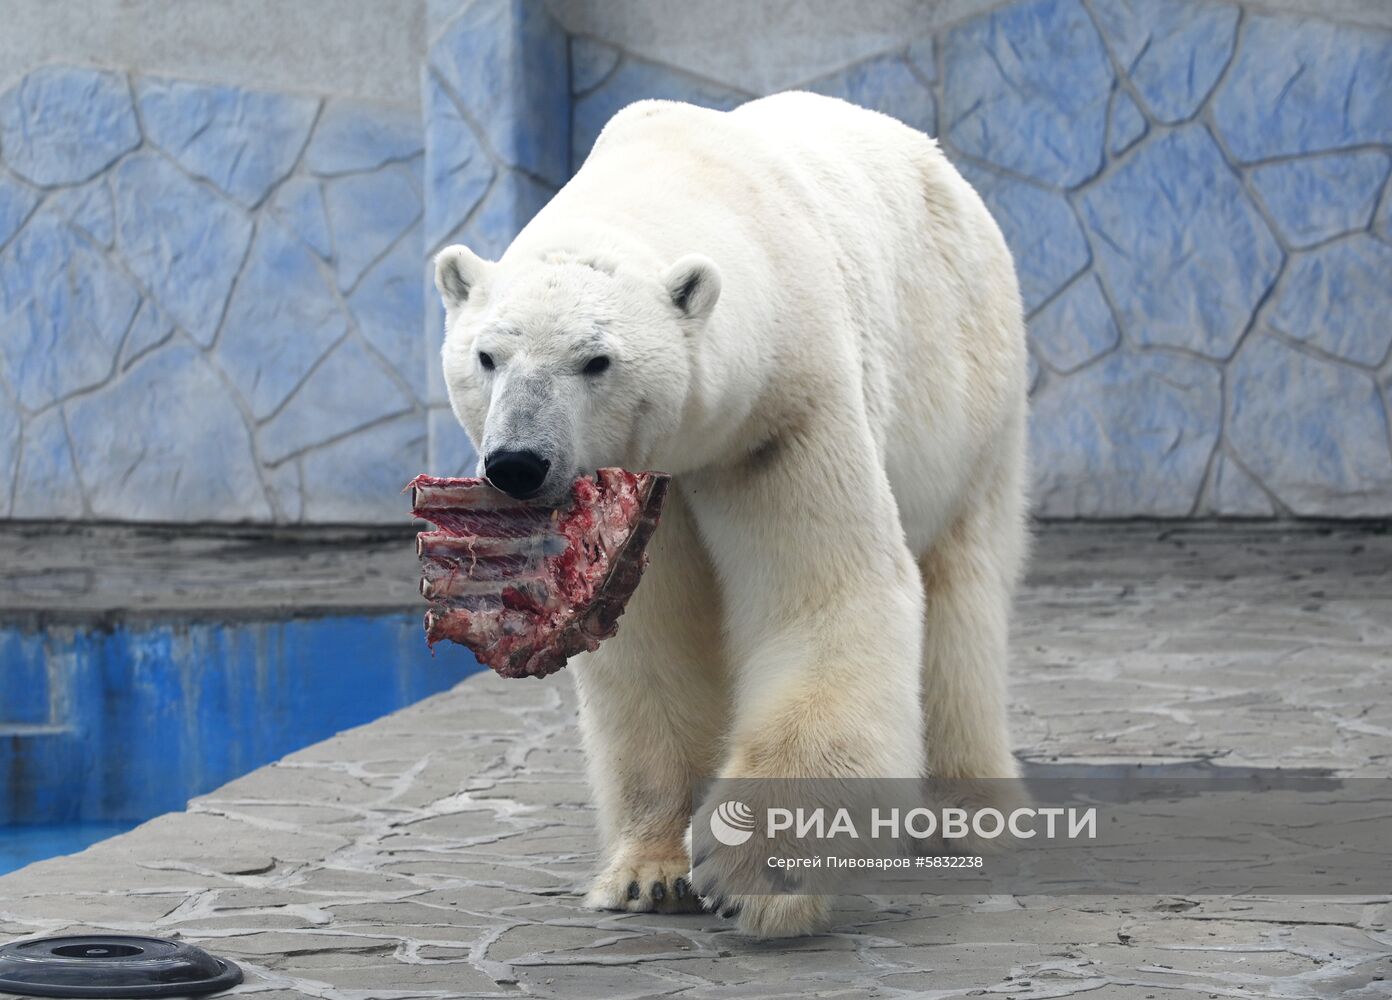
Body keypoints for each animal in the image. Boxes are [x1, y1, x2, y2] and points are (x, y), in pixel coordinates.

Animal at [434, 91, 1035, 941]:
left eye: (596, 360)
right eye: (487, 357)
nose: (518, 463)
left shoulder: (786, 411)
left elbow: (824, 594)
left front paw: (754, 875)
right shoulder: (652, 491)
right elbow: (650, 645)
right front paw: (650, 873)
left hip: (971, 392)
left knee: (962, 593)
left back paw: (967, 812)